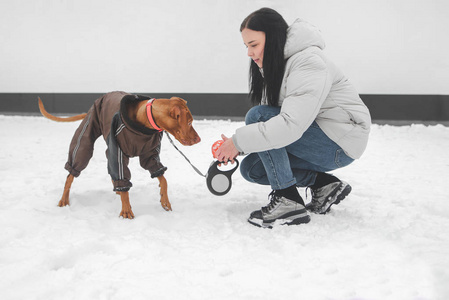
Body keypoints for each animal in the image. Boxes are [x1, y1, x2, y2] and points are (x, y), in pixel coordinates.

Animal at [38, 91, 200, 218]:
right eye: (190, 122)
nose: (199, 140)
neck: (143, 126)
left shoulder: (150, 155)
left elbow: (163, 179)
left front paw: (164, 200)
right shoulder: (118, 152)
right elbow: (122, 177)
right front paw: (126, 209)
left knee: (109, 165)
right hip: (87, 135)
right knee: (71, 173)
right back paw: (64, 199)